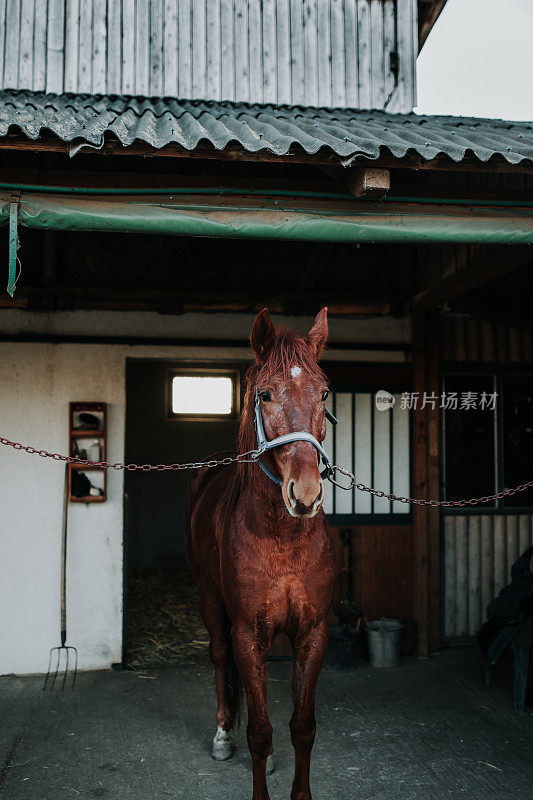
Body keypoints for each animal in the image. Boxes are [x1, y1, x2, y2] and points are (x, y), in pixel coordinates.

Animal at [187, 308, 334, 800]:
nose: (305, 494)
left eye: (323, 392)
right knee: (218, 658)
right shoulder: (247, 632)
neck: (283, 540)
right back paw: (221, 735)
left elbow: (302, 727)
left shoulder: (313, 632)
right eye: (265, 394)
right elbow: (259, 732)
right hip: (210, 600)